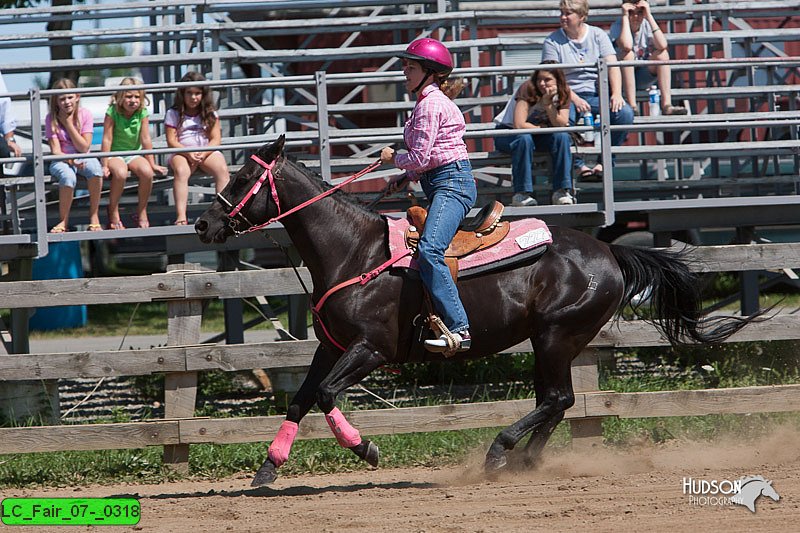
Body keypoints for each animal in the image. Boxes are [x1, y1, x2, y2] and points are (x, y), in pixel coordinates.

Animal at [197, 136, 760, 486]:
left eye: (243, 176)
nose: (203, 225)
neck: (355, 251)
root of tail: (608, 250)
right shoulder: (331, 347)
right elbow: (301, 400)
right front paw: (268, 469)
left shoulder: (370, 349)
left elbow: (329, 395)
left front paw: (367, 450)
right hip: (551, 340)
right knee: (558, 401)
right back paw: (524, 460)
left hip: (556, 336)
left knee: (557, 398)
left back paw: (500, 451)